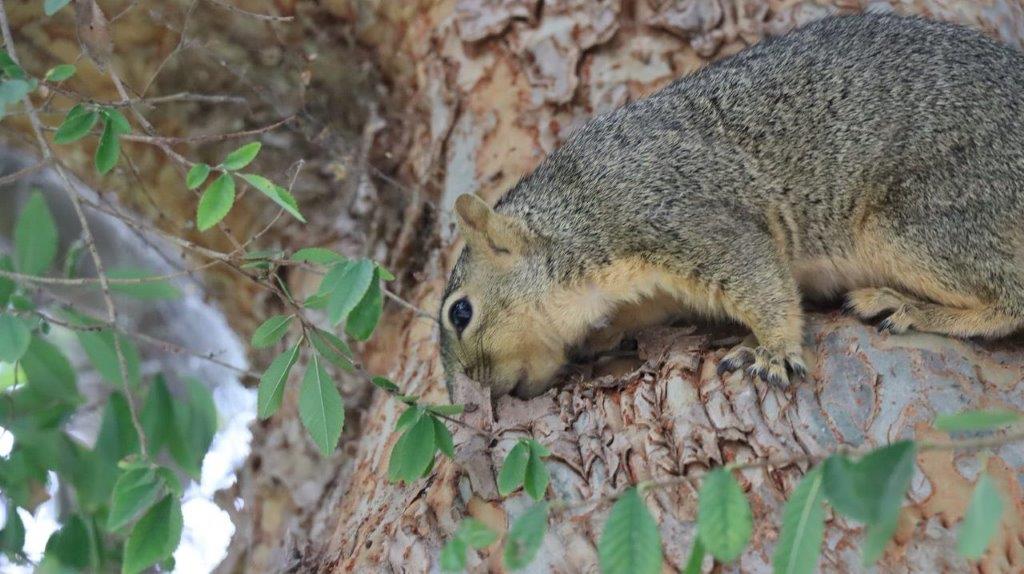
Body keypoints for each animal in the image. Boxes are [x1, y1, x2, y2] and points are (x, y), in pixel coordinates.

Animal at [436, 12, 1024, 399]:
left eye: (460, 312)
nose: (478, 393)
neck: (576, 213)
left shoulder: (675, 214)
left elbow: (759, 278)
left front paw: (773, 351)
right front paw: (601, 338)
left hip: (921, 219)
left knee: (1010, 299)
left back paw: (905, 306)